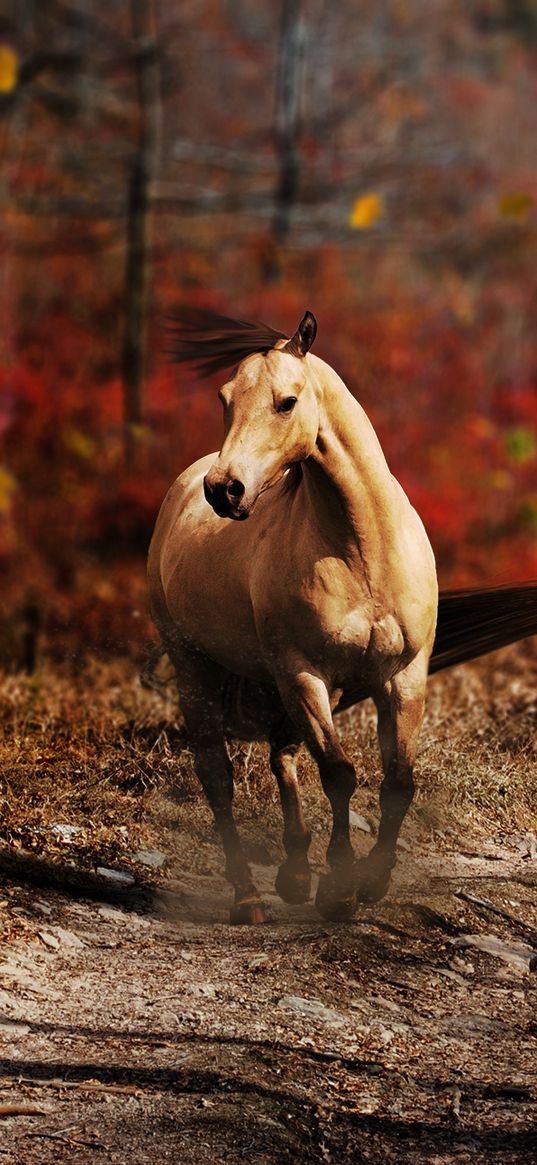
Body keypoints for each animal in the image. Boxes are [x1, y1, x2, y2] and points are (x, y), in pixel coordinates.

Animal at [146, 312, 435, 927]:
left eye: (287, 401)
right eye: (225, 399)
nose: (224, 490)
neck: (363, 548)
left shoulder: (404, 675)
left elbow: (398, 781)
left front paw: (372, 882)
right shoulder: (305, 674)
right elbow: (340, 773)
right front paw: (340, 890)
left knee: (282, 754)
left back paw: (295, 875)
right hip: (198, 666)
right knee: (218, 775)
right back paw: (249, 898)